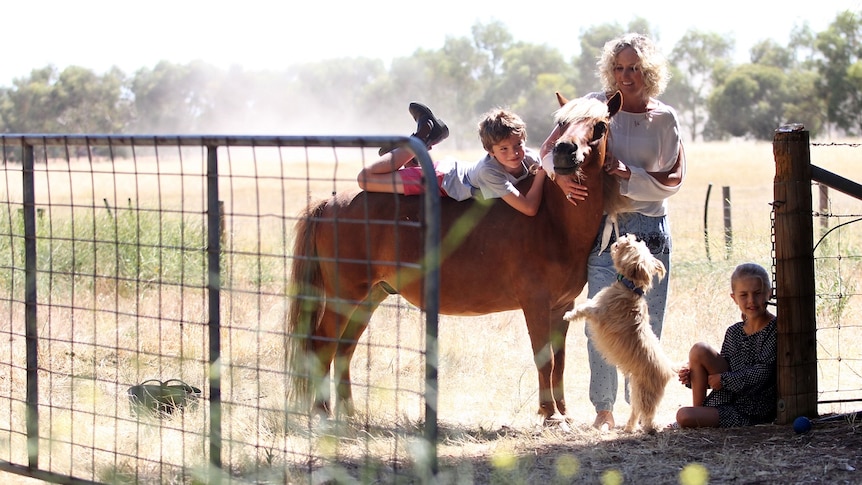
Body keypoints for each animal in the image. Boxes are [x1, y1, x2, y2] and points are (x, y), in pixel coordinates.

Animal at [286, 92, 624, 422]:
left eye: (600, 126)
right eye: (562, 123)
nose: (565, 151)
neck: (552, 219)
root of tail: (329, 202)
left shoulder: (561, 308)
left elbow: (559, 361)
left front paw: (563, 413)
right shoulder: (536, 305)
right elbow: (545, 361)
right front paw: (549, 415)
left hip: (369, 297)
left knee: (344, 349)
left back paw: (348, 414)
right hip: (345, 297)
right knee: (322, 345)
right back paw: (321, 413)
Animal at [568, 233, 680, 432]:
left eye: (633, 246)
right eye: (638, 243)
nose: (628, 235)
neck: (631, 287)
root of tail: (669, 369)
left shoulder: (599, 312)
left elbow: (584, 308)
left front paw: (568, 315)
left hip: (644, 393)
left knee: (647, 414)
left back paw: (648, 429)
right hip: (635, 390)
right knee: (636, 411)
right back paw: (629, 427)